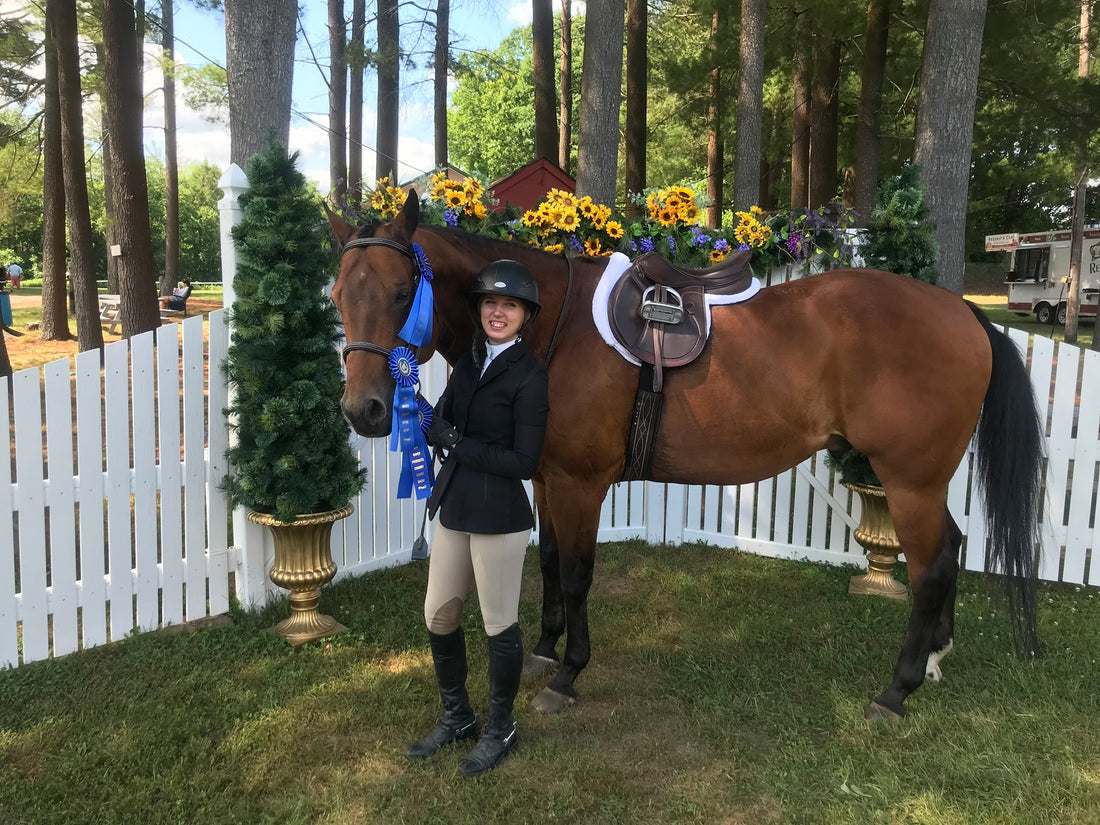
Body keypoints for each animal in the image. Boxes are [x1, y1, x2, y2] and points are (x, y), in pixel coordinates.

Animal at [325, 193, 1038, 721]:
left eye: (400, 293)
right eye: (337, 296)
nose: (365, 410)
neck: (551, 324)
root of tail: (965, 313)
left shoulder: (582, 483)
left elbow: (577, 574)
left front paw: (569, 674)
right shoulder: (548, 477)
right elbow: (549, 561)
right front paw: (545, 650)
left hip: (910, 481)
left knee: (932, 568)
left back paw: (898, 689)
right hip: (924, 482)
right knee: (950, 549)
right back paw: (936, 660)